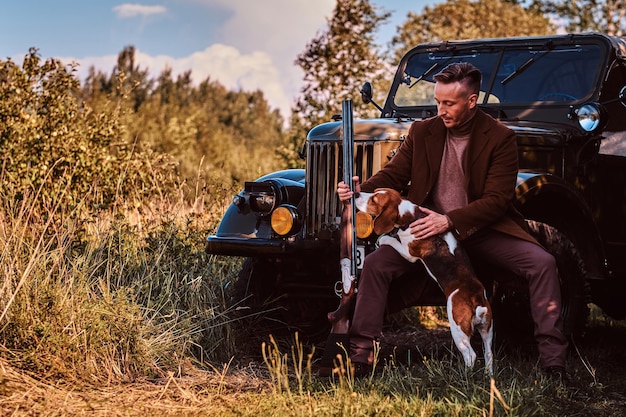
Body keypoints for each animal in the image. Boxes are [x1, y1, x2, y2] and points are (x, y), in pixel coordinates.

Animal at [354, 188, 490, 374]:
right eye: (374, 192)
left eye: (374, 200)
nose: (355, 194)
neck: (412, 216)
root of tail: (476, 299)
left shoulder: (408, 252)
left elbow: (392, 240)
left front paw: (383, 239)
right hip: (487, 331)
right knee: (489, 355)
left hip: (458, 330)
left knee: (471, 355)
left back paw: (464, 375)